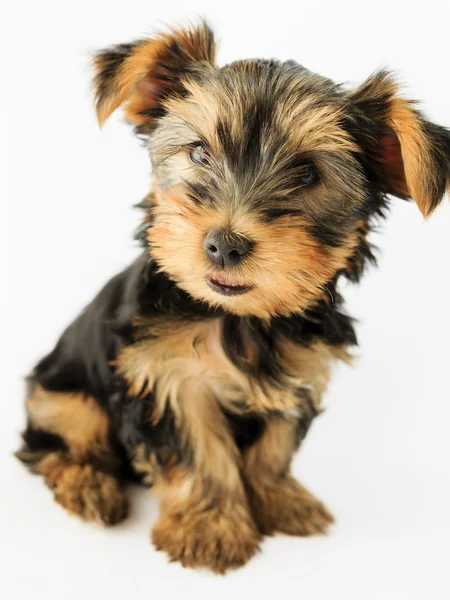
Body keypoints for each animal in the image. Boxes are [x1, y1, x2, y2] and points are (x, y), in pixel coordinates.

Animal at [14, 19, 450, 572]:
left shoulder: (300, 369)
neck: (242, 317)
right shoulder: (167, 375)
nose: (224, 244)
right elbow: (199, 451)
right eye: (199, 152)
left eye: (307, 173)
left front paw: (280, 500)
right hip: (62, 394)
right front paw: (210, 528)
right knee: (57, 443)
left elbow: (275, 445)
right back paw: (89, 486)